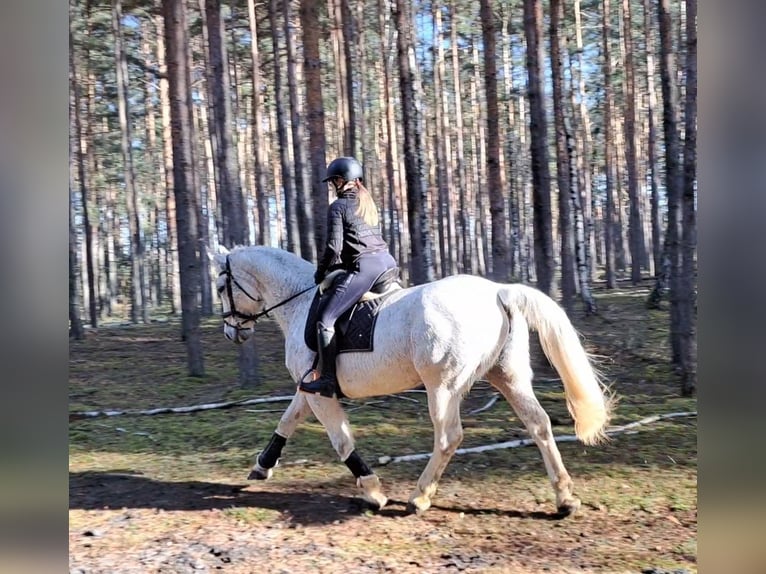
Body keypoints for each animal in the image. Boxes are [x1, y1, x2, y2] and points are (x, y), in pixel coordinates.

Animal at [213, 246, 616, 516]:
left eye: (220, 287)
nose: (233, 332)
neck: (300, 303)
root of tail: (497, 291)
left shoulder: (320, 393)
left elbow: (341, 440)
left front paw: (372, 491)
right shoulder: (308, 386)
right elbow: (287, 420)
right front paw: (262, 465)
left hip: (443, 387)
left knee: (449, 437)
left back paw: (420, 496)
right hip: (508, 377)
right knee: (539, 424)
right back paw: (565, 498)